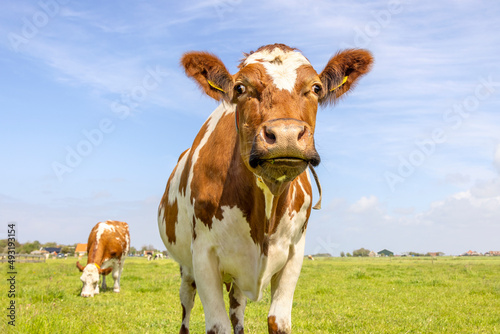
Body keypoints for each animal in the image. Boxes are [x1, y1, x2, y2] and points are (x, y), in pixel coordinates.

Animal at [158, 44, 374, 334]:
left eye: (316, 88)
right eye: (240, 87)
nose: (285, 135)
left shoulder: (294, 253)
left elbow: (276, 321)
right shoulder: (203, 255)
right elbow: (218, 326)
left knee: (237, 309)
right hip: (186, 268)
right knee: (186, 305)